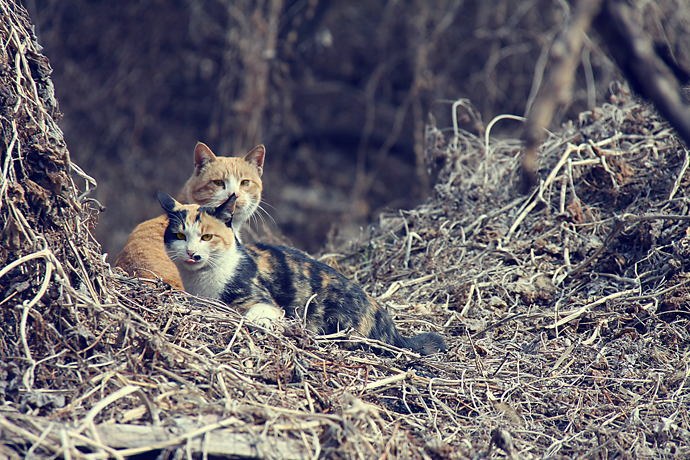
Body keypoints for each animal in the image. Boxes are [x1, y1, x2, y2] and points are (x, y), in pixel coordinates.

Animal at [157, 190, 446, 356]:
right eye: (180, 236)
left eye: (207, 237)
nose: (192, 253)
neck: (201, 281)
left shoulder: (264, 303)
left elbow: (253, 316)